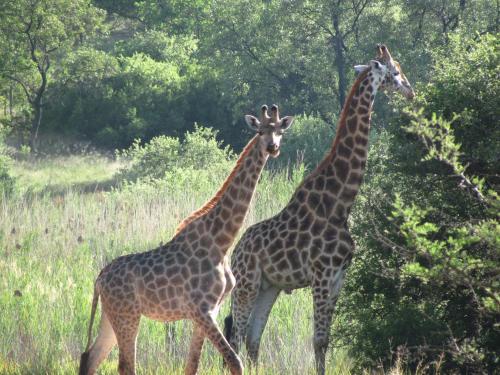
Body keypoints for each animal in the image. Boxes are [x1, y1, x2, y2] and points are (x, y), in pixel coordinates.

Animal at [78, 105, 294, 375]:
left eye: (280, 132)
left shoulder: (210, 310)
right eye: (261, 131)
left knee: (90, 357)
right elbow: (235, 361)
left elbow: (192, 365)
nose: (272, 148)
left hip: (111, 315)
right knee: (125, 365)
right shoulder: (201, 310)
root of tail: (99, 279)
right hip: (127, 315)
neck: (222, 242)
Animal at [225, 44, 416, 375]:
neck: (341, 203)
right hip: (246, 284)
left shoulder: (339, 276)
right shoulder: (322, 274)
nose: (410, 91)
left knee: (252, 338)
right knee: (236, 336)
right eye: (395, 71)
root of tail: (235, 253)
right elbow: (318, 340)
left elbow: (325, 339)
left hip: (268, 286)